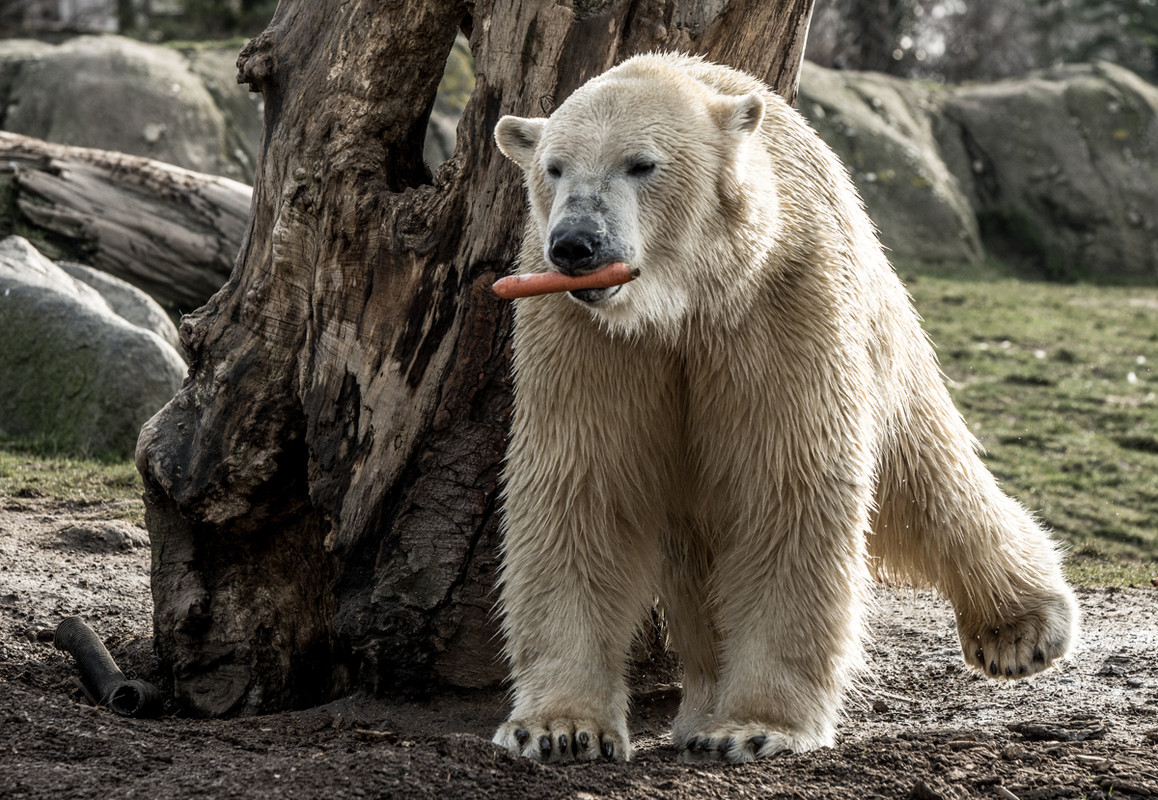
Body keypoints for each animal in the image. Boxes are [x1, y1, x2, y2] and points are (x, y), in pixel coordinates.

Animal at [488, 53, 1074, 768]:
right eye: (554, 167)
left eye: (641, 163)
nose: (576, 244)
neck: (684, 303)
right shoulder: (586, 336)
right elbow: (581, 487)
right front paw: (559, 727)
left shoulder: (780, 301)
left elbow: (787, 485)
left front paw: (754, 727)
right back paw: (698, 703)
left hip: (879, 326)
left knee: (925, 477)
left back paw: (1023, 627)